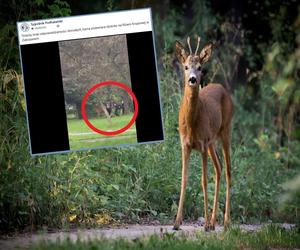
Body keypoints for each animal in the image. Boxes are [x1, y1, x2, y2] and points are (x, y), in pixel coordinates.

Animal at [173, 36, 234, 231]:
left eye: (200, 67)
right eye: (186, 66)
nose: (193, 79)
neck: (192, 123)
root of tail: (222, 88)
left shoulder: (201, 144)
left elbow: (203, 180)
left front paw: (205, 223)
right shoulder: (185, 144)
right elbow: (184, 179)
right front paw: (176, 222)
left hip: (225, 131)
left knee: (228, 170)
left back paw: (225, 221)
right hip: (212, 142)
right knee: (219, 168)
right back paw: (214, 222)